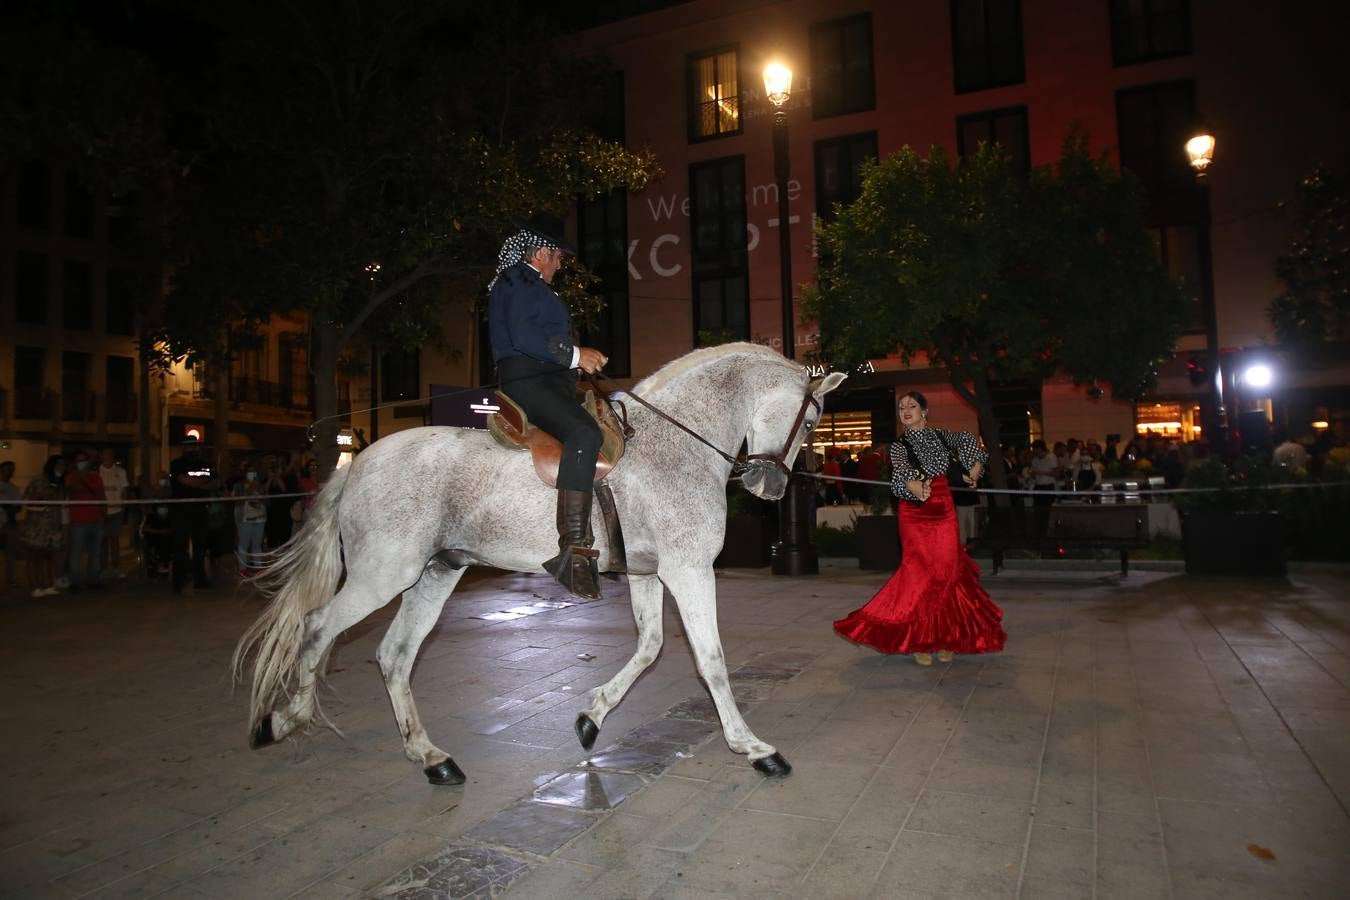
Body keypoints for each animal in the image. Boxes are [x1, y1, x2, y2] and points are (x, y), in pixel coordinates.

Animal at [234, 345, 842, 788]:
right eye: (812, 422)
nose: (771, 488)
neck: (674, 444)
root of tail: (356, 462)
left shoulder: (648, 574)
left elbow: (649, 648)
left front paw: (591, 719)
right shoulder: (689, 571)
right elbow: (711, 661)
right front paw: (755, 748)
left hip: (436, 574)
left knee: (394, 655)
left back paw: (431, 757)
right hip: (382, 575)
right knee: (318, 628)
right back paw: (284, 720)